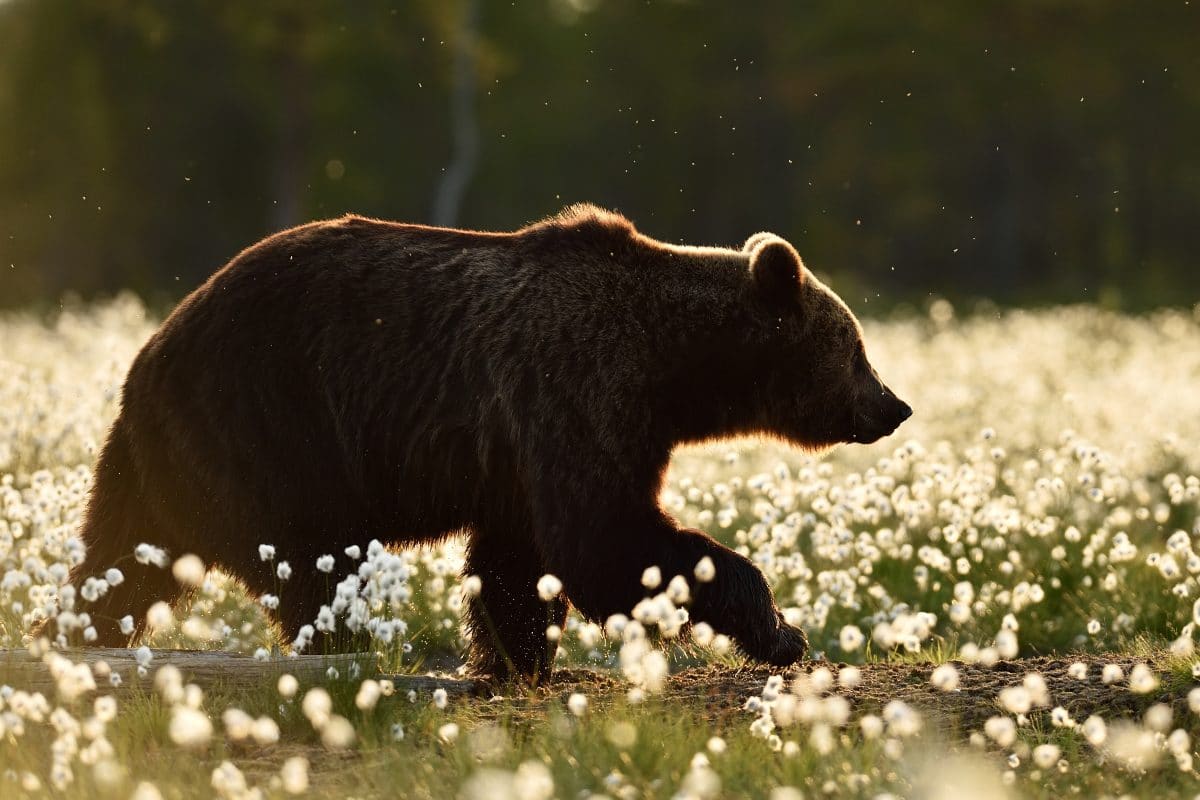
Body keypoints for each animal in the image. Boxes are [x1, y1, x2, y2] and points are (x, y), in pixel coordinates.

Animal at [70, 203, 907, 681]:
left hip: (162, 457)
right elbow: (607, 542)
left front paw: (519, 659)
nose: (893, 406)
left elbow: (519, 561)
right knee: (313, 562)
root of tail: (151, 350)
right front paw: (781, 631)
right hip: (271, 425)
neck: (670, 375)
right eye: (854, 346)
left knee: (124, 554)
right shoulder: (573, 389)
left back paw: (82, 629)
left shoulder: (529, 451)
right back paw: (348, 646)